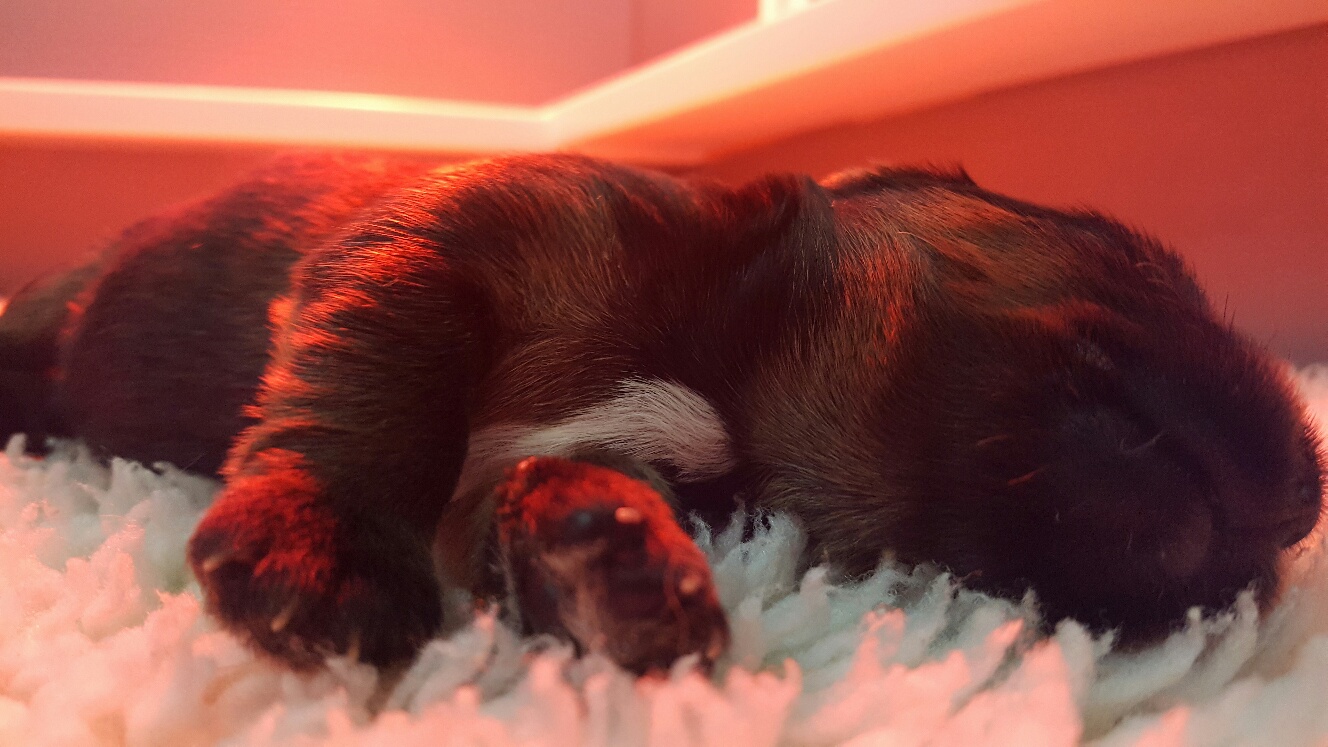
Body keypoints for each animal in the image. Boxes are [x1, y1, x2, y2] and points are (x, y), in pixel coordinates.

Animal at [0, 152, 1321, 674]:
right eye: (1135, 257)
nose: (1304, 504)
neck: (734, 379)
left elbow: (538, 494)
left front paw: (616, 568)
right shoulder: (455, 231)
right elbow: (381, 386)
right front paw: (317, 550)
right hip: (48, 316)